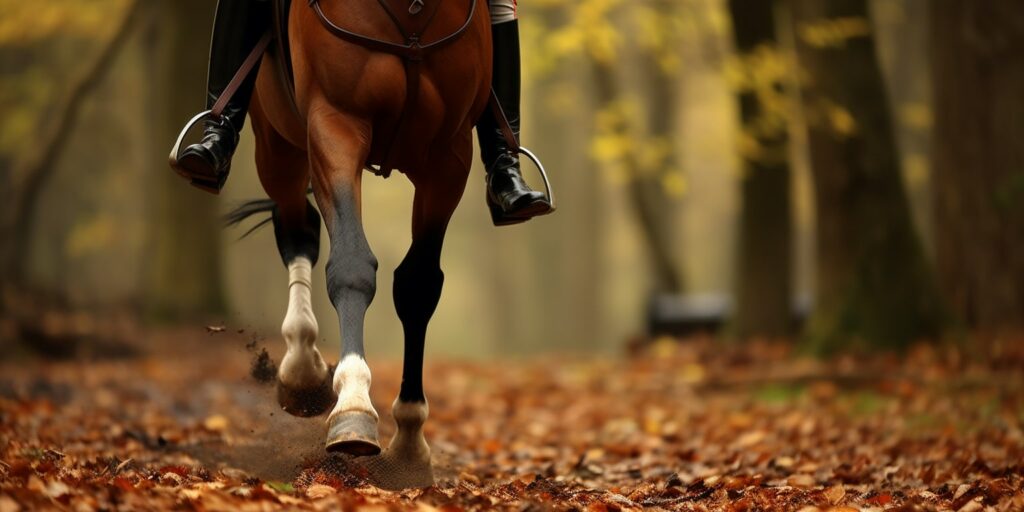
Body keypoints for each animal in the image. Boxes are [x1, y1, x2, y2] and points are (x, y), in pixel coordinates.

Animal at [223, 0, 491, 487]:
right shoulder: (335, 123)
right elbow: (351, 266)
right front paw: (352, 405)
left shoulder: (449, 155)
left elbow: (418, 286)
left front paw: (409, 445)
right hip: (276, 142)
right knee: (296, 227)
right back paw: (304, 373)